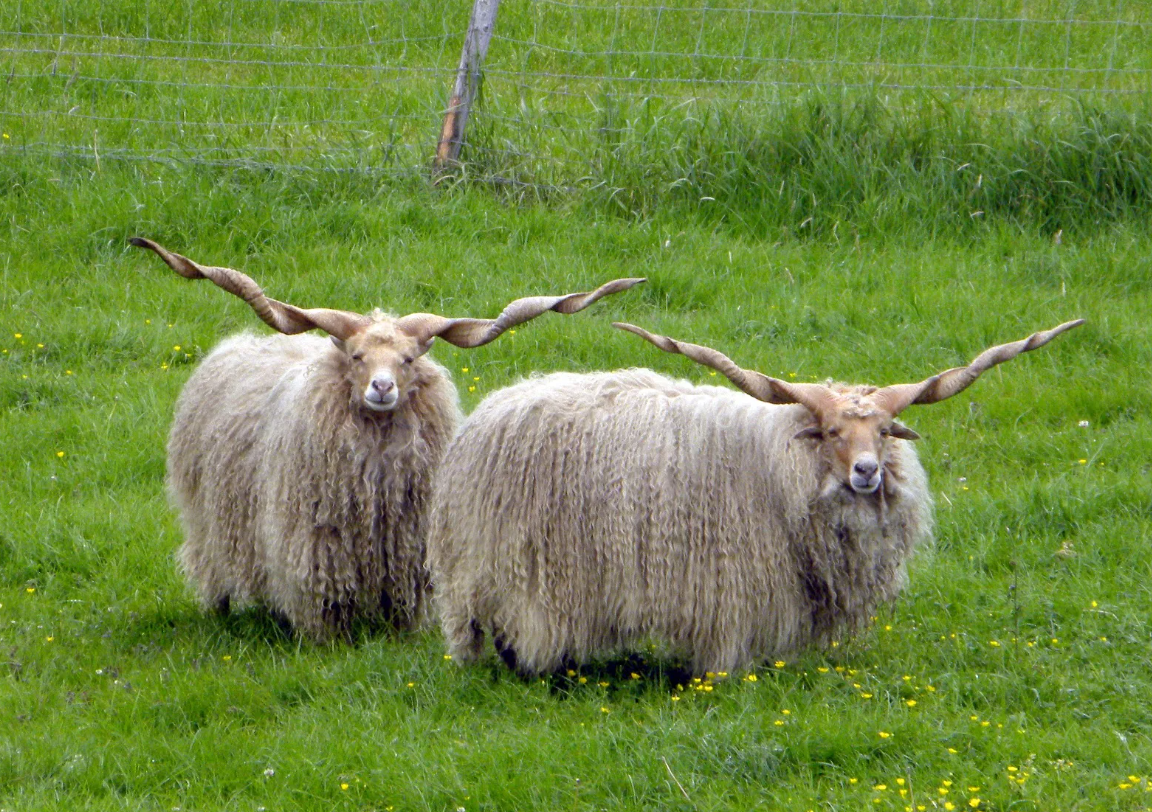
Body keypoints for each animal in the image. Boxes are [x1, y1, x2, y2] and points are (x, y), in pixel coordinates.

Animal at [132, 237, 649, 644]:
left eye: (408, 358)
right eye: (356, 356)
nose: (382, 389)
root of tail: (242, 344)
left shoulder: (406, 542)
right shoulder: (318, 541)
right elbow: (323, 599)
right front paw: (328, 642)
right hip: (208, 524)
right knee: (212, 569)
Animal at [428, 317, 1082, 672]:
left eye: (883, 431)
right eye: (832, 432)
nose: (867, 472)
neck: (779, 462)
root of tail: (483, 418)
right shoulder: (728, 583)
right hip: (514, 569)